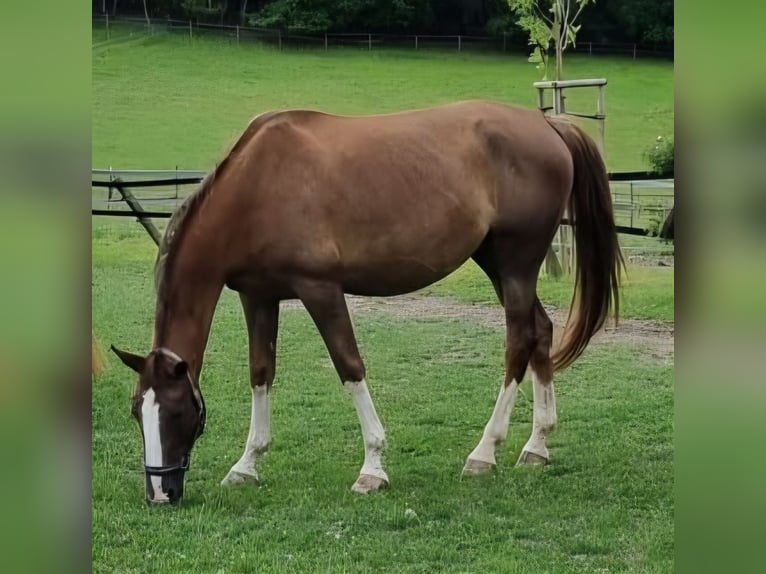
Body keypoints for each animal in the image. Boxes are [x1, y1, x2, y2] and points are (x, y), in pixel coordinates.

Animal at [110, 100, 623, 505]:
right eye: (137, 411)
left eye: (178, 412)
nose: (159, 493)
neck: (258, 186)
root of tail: (548, 124)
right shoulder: (258, 296)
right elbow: (260, 373)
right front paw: (246, 465)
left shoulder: (320, 289)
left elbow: (349, 367)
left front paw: (372, 468)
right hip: (495, 261)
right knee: (541, 332)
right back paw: (536, 446)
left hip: (516, 262)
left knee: (518, 341)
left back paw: (485, 452)